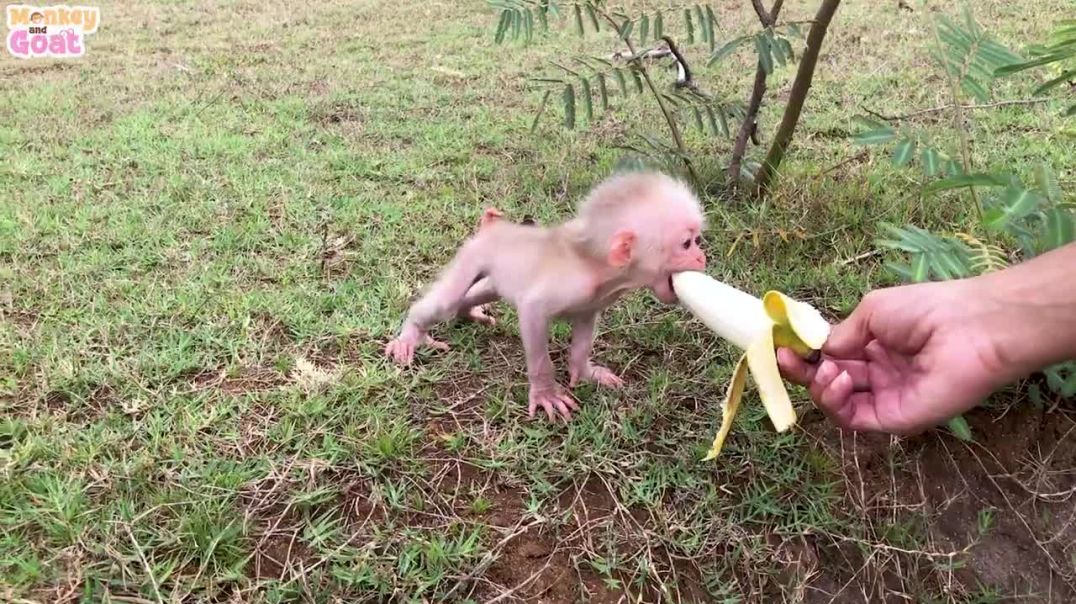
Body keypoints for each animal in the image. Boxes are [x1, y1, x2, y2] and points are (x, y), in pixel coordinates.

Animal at [384, 171, 707, 422]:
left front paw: (584, 372)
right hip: (474, 253)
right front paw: (545, 393)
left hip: (497, 277)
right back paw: (410, 335)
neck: (597, 266)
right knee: (446, 302)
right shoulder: (566, 288)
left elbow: (583, 331)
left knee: (475, 295)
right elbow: (533, 317)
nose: (702, 258)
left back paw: (468, 312)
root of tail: (495, 227)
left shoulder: (592, 301)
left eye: (697, 240)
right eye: (686, 243)